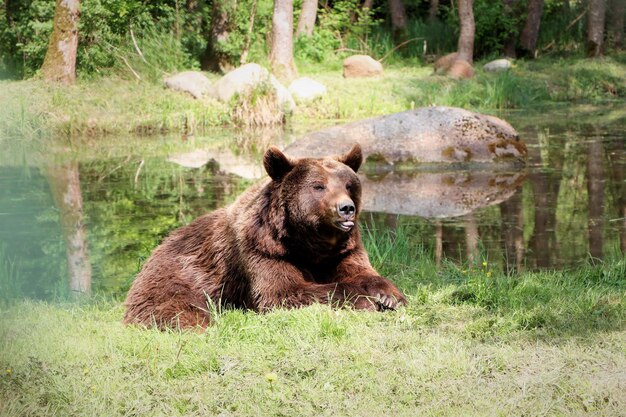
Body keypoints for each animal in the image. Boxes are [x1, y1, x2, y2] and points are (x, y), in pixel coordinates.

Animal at [123, 144, 404, 328]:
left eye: (348, 184)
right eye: (319, 186)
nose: (346, 208)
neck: (307, 243)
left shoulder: (343, 250)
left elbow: (363, 272)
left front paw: (388, 295)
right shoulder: (262, 250)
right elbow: (284, 292)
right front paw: (366, 300)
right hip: (176, 276)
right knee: (175, 309)